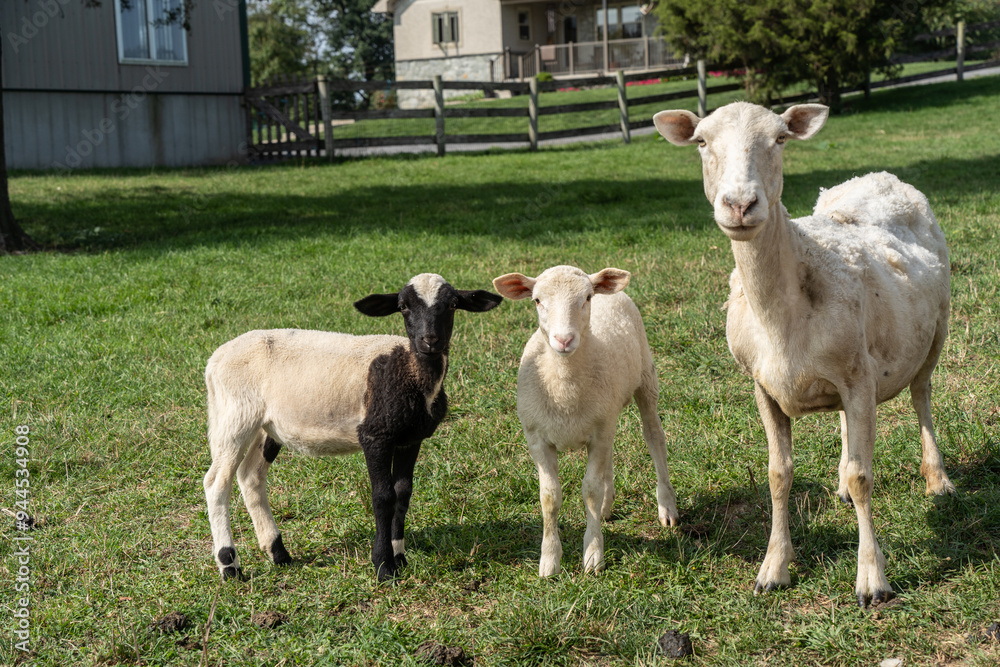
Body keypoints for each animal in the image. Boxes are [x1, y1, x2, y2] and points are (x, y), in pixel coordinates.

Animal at [202, 274, 502, 582]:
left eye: (453, 304)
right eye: (403, 306)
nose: (429, 340)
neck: (410, 369)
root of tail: (215, 360)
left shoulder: (409, 439)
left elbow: (403, 493)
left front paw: (400, 557)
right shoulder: (374, 436)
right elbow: (383, 497)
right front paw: (383, 566)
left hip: (267, 427)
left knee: (250, 476)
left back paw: (278, 553)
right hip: (234, 416)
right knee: (217, 483)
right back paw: (230, 565)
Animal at [492, 265, 679, 576]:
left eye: (587, 298)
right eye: (537, 300)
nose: (564, 340)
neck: (563, 384)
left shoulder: (598, 433)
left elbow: (590, 490)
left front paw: (593, 555)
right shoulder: (537, 438)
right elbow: (549, 497)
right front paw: (550, 560)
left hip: (646, 379)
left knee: (654, 438)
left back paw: (666, 507)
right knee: (611, 457)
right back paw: (607, 507)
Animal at [653, 101, 954, 606]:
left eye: (779, 139)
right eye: (701, 141)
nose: (739, 205)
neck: (781, 315)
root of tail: (879, 175)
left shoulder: (859, 379)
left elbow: (865, 476)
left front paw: (872, 580)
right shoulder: (765, 386)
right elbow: (779, 475)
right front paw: (774, 568)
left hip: (938, 327)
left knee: (921, 397)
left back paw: (938, 479)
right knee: (851, 427)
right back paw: (843, 483)